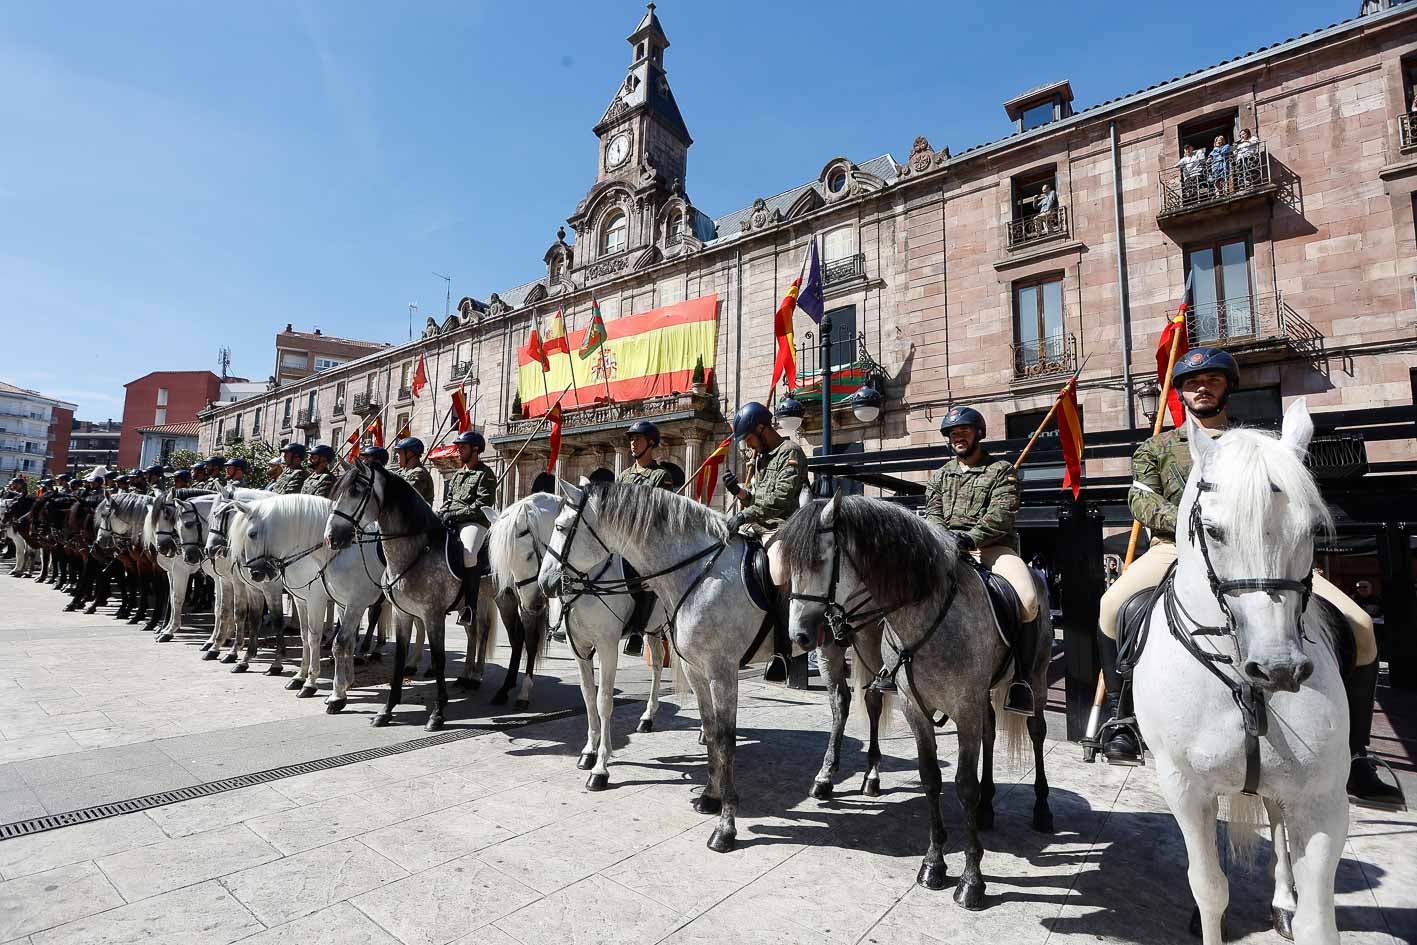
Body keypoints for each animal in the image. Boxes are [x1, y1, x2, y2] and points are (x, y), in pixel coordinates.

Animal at [236, 495, 385, 708]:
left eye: (252, 534)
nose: (254, 573)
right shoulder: (308, 601)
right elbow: (308, 637)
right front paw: (303, 677)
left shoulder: (321, 601)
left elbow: (315, 638)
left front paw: (311, 683)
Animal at [493, 487, 668, 793]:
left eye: (526, 554)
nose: (531, 603)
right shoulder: (580, 648)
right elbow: (588, 697)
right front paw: (588, 752)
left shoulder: (607, 647)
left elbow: (604, 700)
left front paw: (601, 767)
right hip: (654, 628)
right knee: (658, 665)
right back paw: (648, 717)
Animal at [1127, 402, 1348, 945]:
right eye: (1213, 530)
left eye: (1313, 529)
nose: (1278, 668)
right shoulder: (1184, 787)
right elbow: (1209, 888)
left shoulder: (1324, 797)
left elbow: (1318, 921)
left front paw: (1294, 906)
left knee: (1277, 819)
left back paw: (1283, 900)